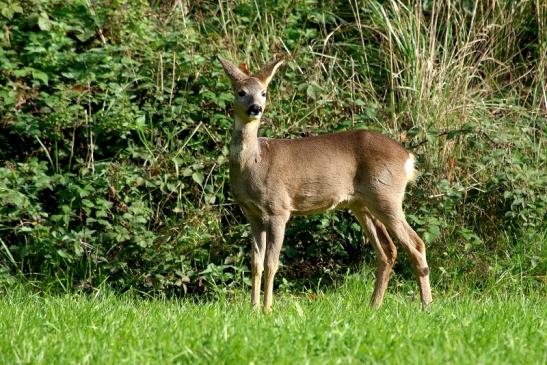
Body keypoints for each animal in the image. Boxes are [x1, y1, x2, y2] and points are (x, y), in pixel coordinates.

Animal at [217, 55, 432, 312]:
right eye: (241, 92)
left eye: (264, 92)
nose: (255, 108)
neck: (254, 163)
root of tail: (408, 157)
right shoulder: (252, 213)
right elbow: (255, 263)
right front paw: (253, 308)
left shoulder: (278, 208)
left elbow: (271, 263)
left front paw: (267, 309)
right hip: (362, 204)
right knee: (388, 250)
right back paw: (373, 306)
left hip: (386, 195)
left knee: (416, 244)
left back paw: (426, 305)